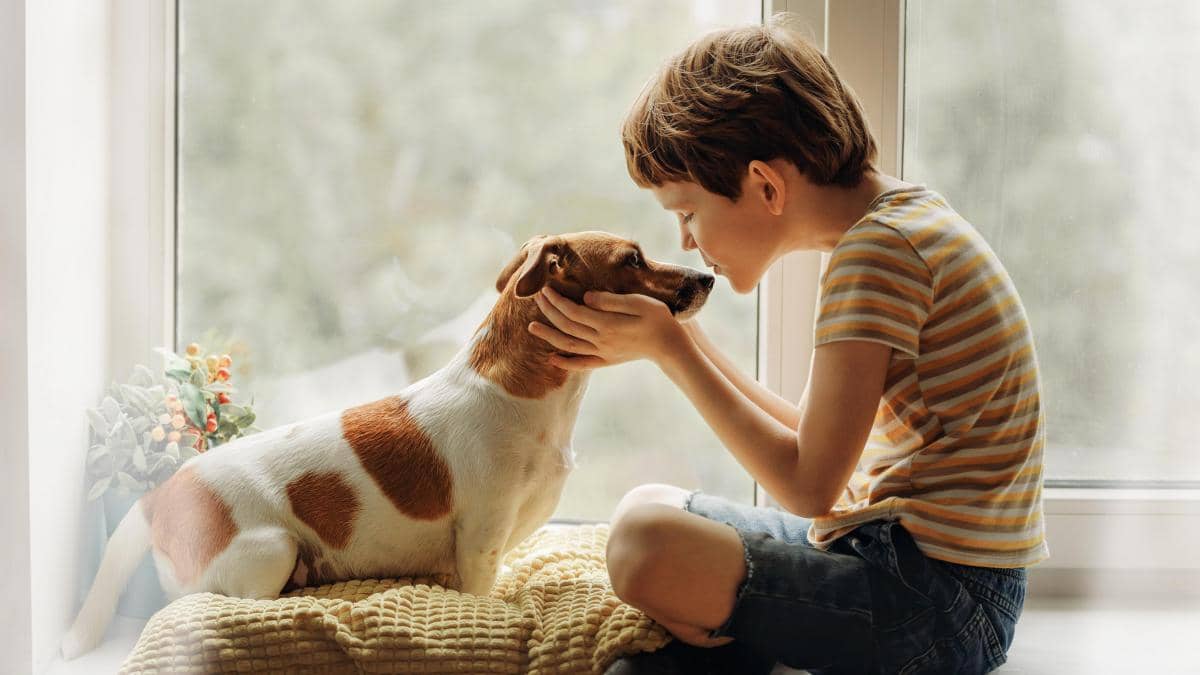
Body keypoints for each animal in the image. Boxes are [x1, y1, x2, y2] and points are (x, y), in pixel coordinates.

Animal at [63, 230, 710, 658]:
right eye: (632, 259)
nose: (707, 276)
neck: (528, 396)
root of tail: (161, 497)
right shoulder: (481, 540)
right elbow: (484, 589)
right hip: (271, 549)